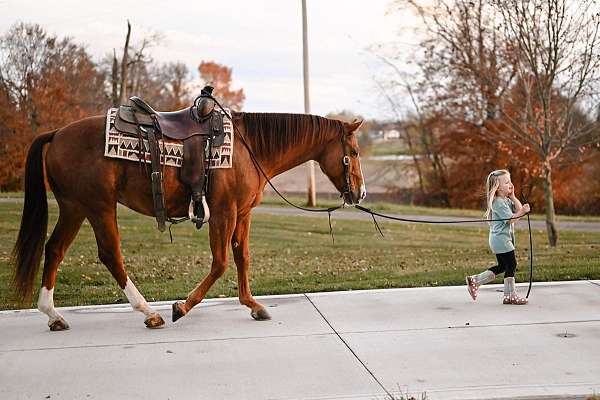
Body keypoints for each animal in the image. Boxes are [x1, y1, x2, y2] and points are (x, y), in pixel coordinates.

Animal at [11, 111, 366, 330]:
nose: (361, 192)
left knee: (55, 250)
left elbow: (242, 257)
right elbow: (221, 263)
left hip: (75, 207)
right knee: (110, 255)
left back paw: (53, 315)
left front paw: (252, 304)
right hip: (99, 207)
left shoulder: (242, 214)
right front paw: (181, 307)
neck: (250, 148)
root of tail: (57, 133)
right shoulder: (223, 213)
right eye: (355, 152)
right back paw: (149, 313)